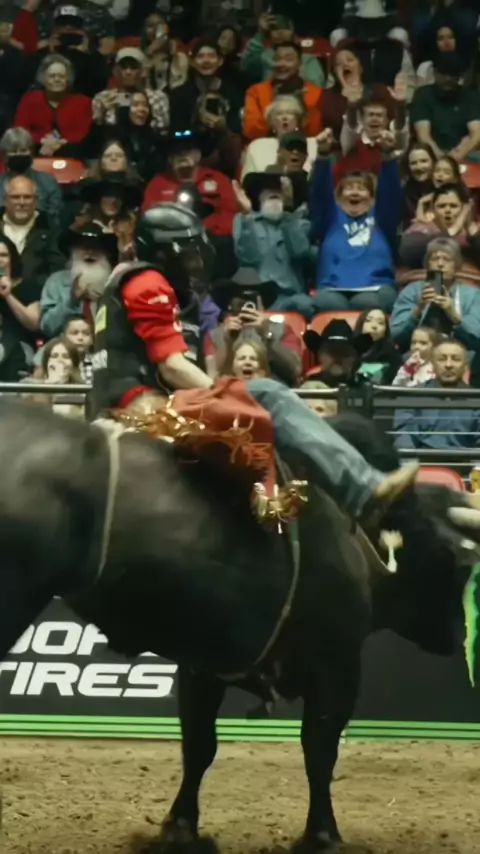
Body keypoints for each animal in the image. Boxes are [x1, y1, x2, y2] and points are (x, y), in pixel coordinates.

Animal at [0, 399, 478, 852]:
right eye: (456, 562)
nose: (457, 634)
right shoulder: (337, 667)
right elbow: (319, 750)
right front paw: (322, 835)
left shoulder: (203, 666)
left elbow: (199, 746)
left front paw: (180, 830)